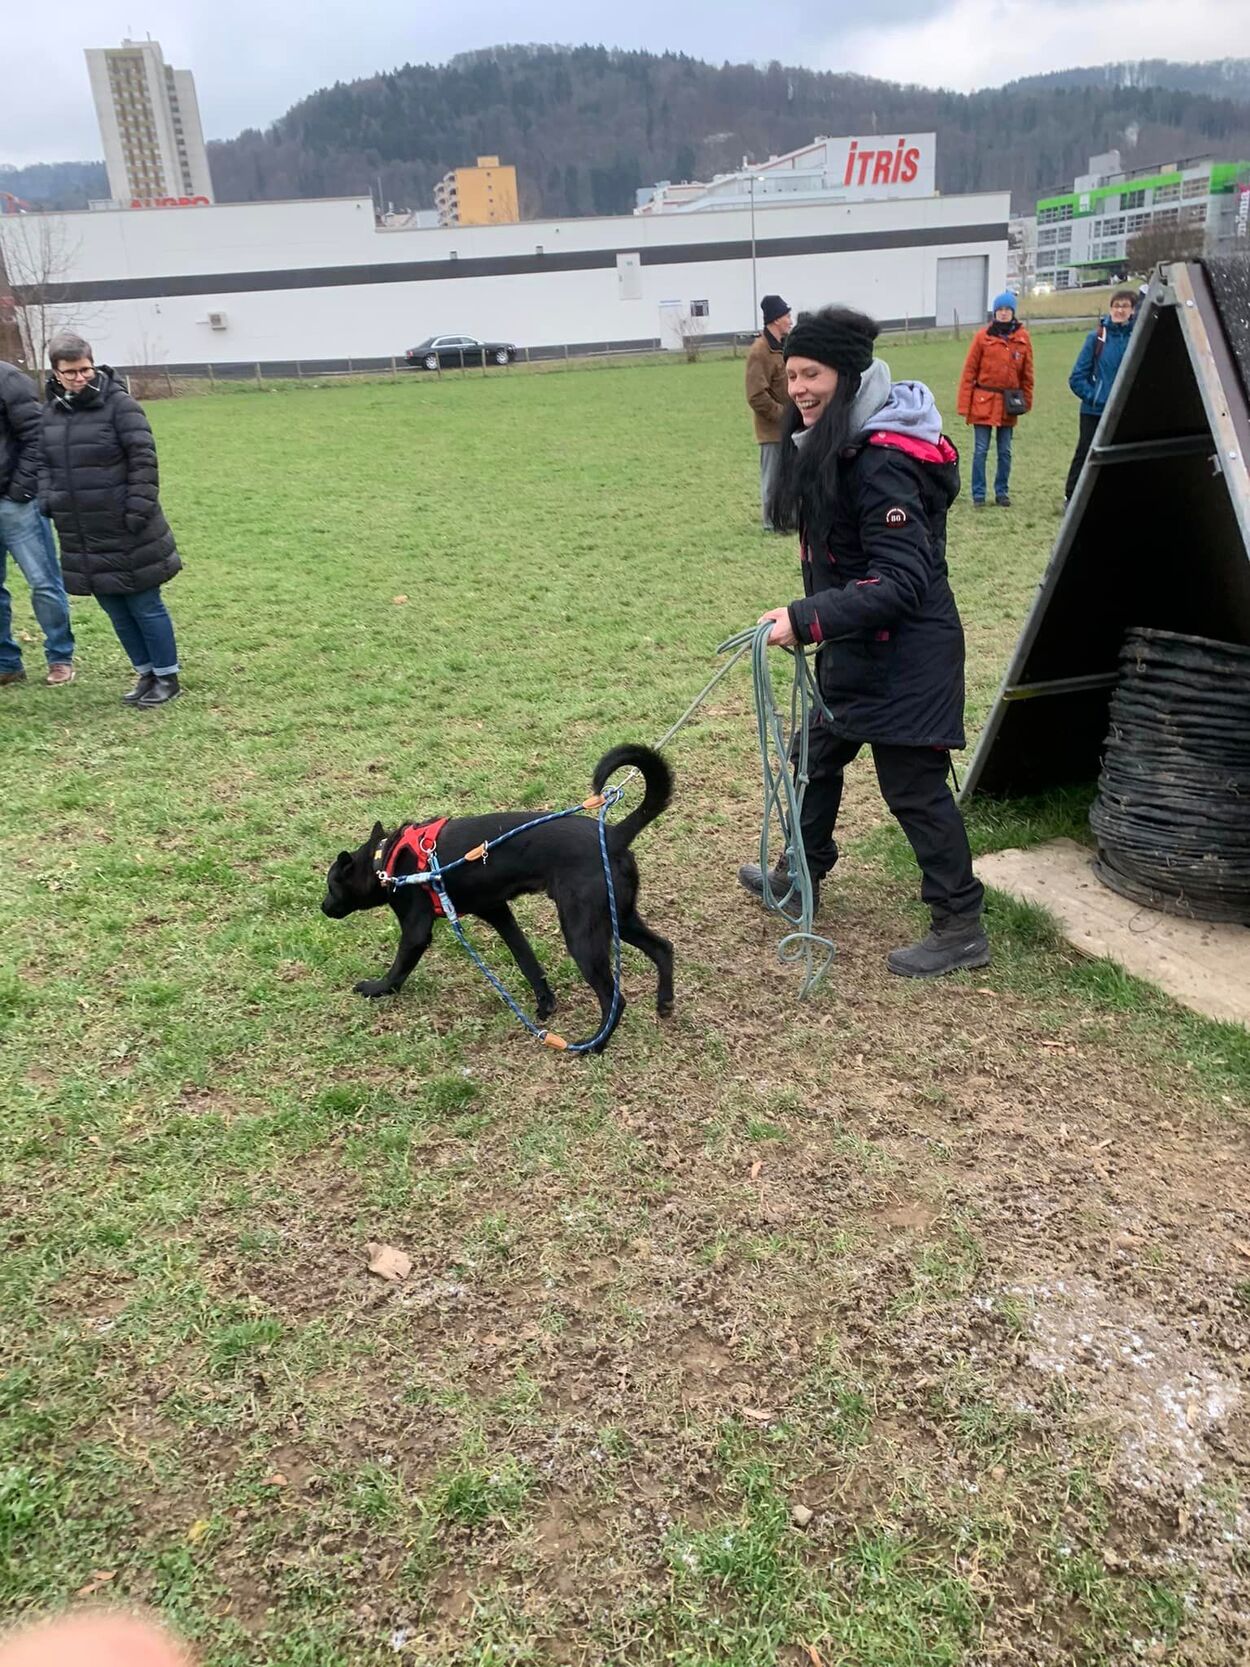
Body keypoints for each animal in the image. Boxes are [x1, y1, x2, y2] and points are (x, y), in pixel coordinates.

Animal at [321, 744, 674, 1052]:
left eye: (330, 885)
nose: (323, 908)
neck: (385, 860)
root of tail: (613, 835)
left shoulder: (415, 929)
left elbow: (398, 970)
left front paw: (376, 988)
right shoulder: (498, 912)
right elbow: (526, 959)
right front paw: (545, 1002)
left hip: (582, 933)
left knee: (614, 998)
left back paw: (595, 1045)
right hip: (618, 916)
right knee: (662, 947)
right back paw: (665, 1003)